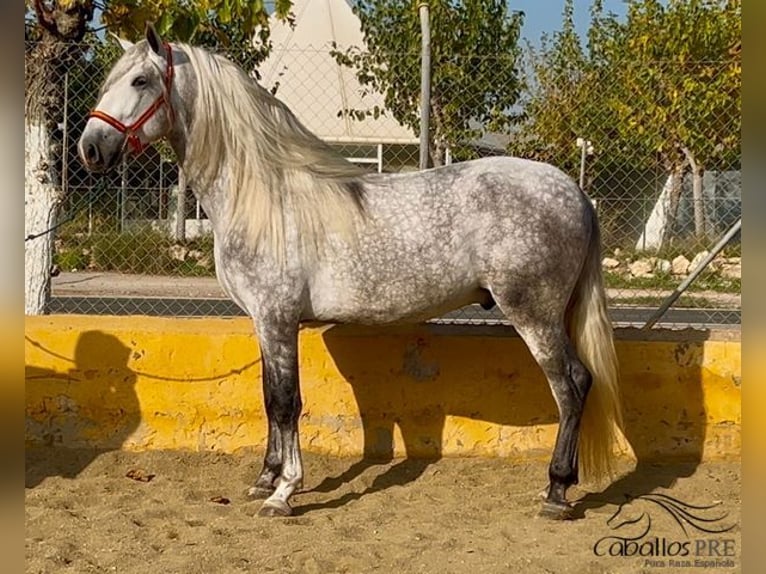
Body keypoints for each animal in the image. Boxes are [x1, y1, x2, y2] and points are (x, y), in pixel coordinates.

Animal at [78, 23, 624, 520]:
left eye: (141, 81)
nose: (90, 148)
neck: (264, 195)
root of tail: (574, 192)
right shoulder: (263, 323)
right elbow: (268, 398)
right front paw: (264, 479)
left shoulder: (277, 319)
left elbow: (286, 402)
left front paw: (284, 493)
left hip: (534, 314)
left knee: (572, 384)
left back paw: (556, 491)